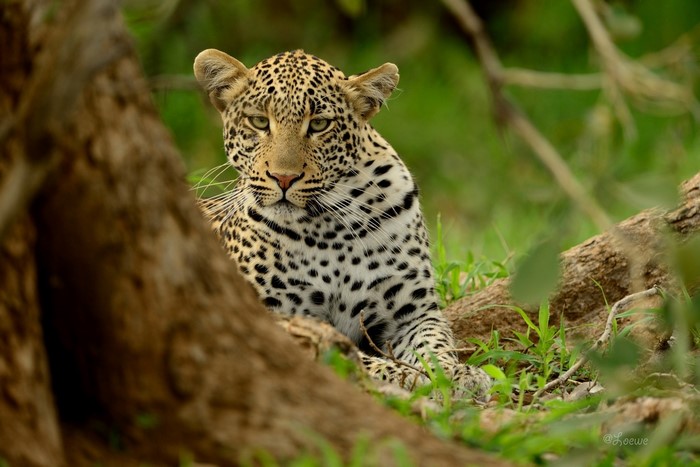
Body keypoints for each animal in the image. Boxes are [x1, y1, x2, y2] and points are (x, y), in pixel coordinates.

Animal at [193, 49, 492, 401]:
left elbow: (436, 346)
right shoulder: (268, 316)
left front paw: (458, 376)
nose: (284, 178)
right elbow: (357, 359)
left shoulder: (414, 312)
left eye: (319, 124)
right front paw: (412, 379)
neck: (327, 230)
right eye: (259, 121)